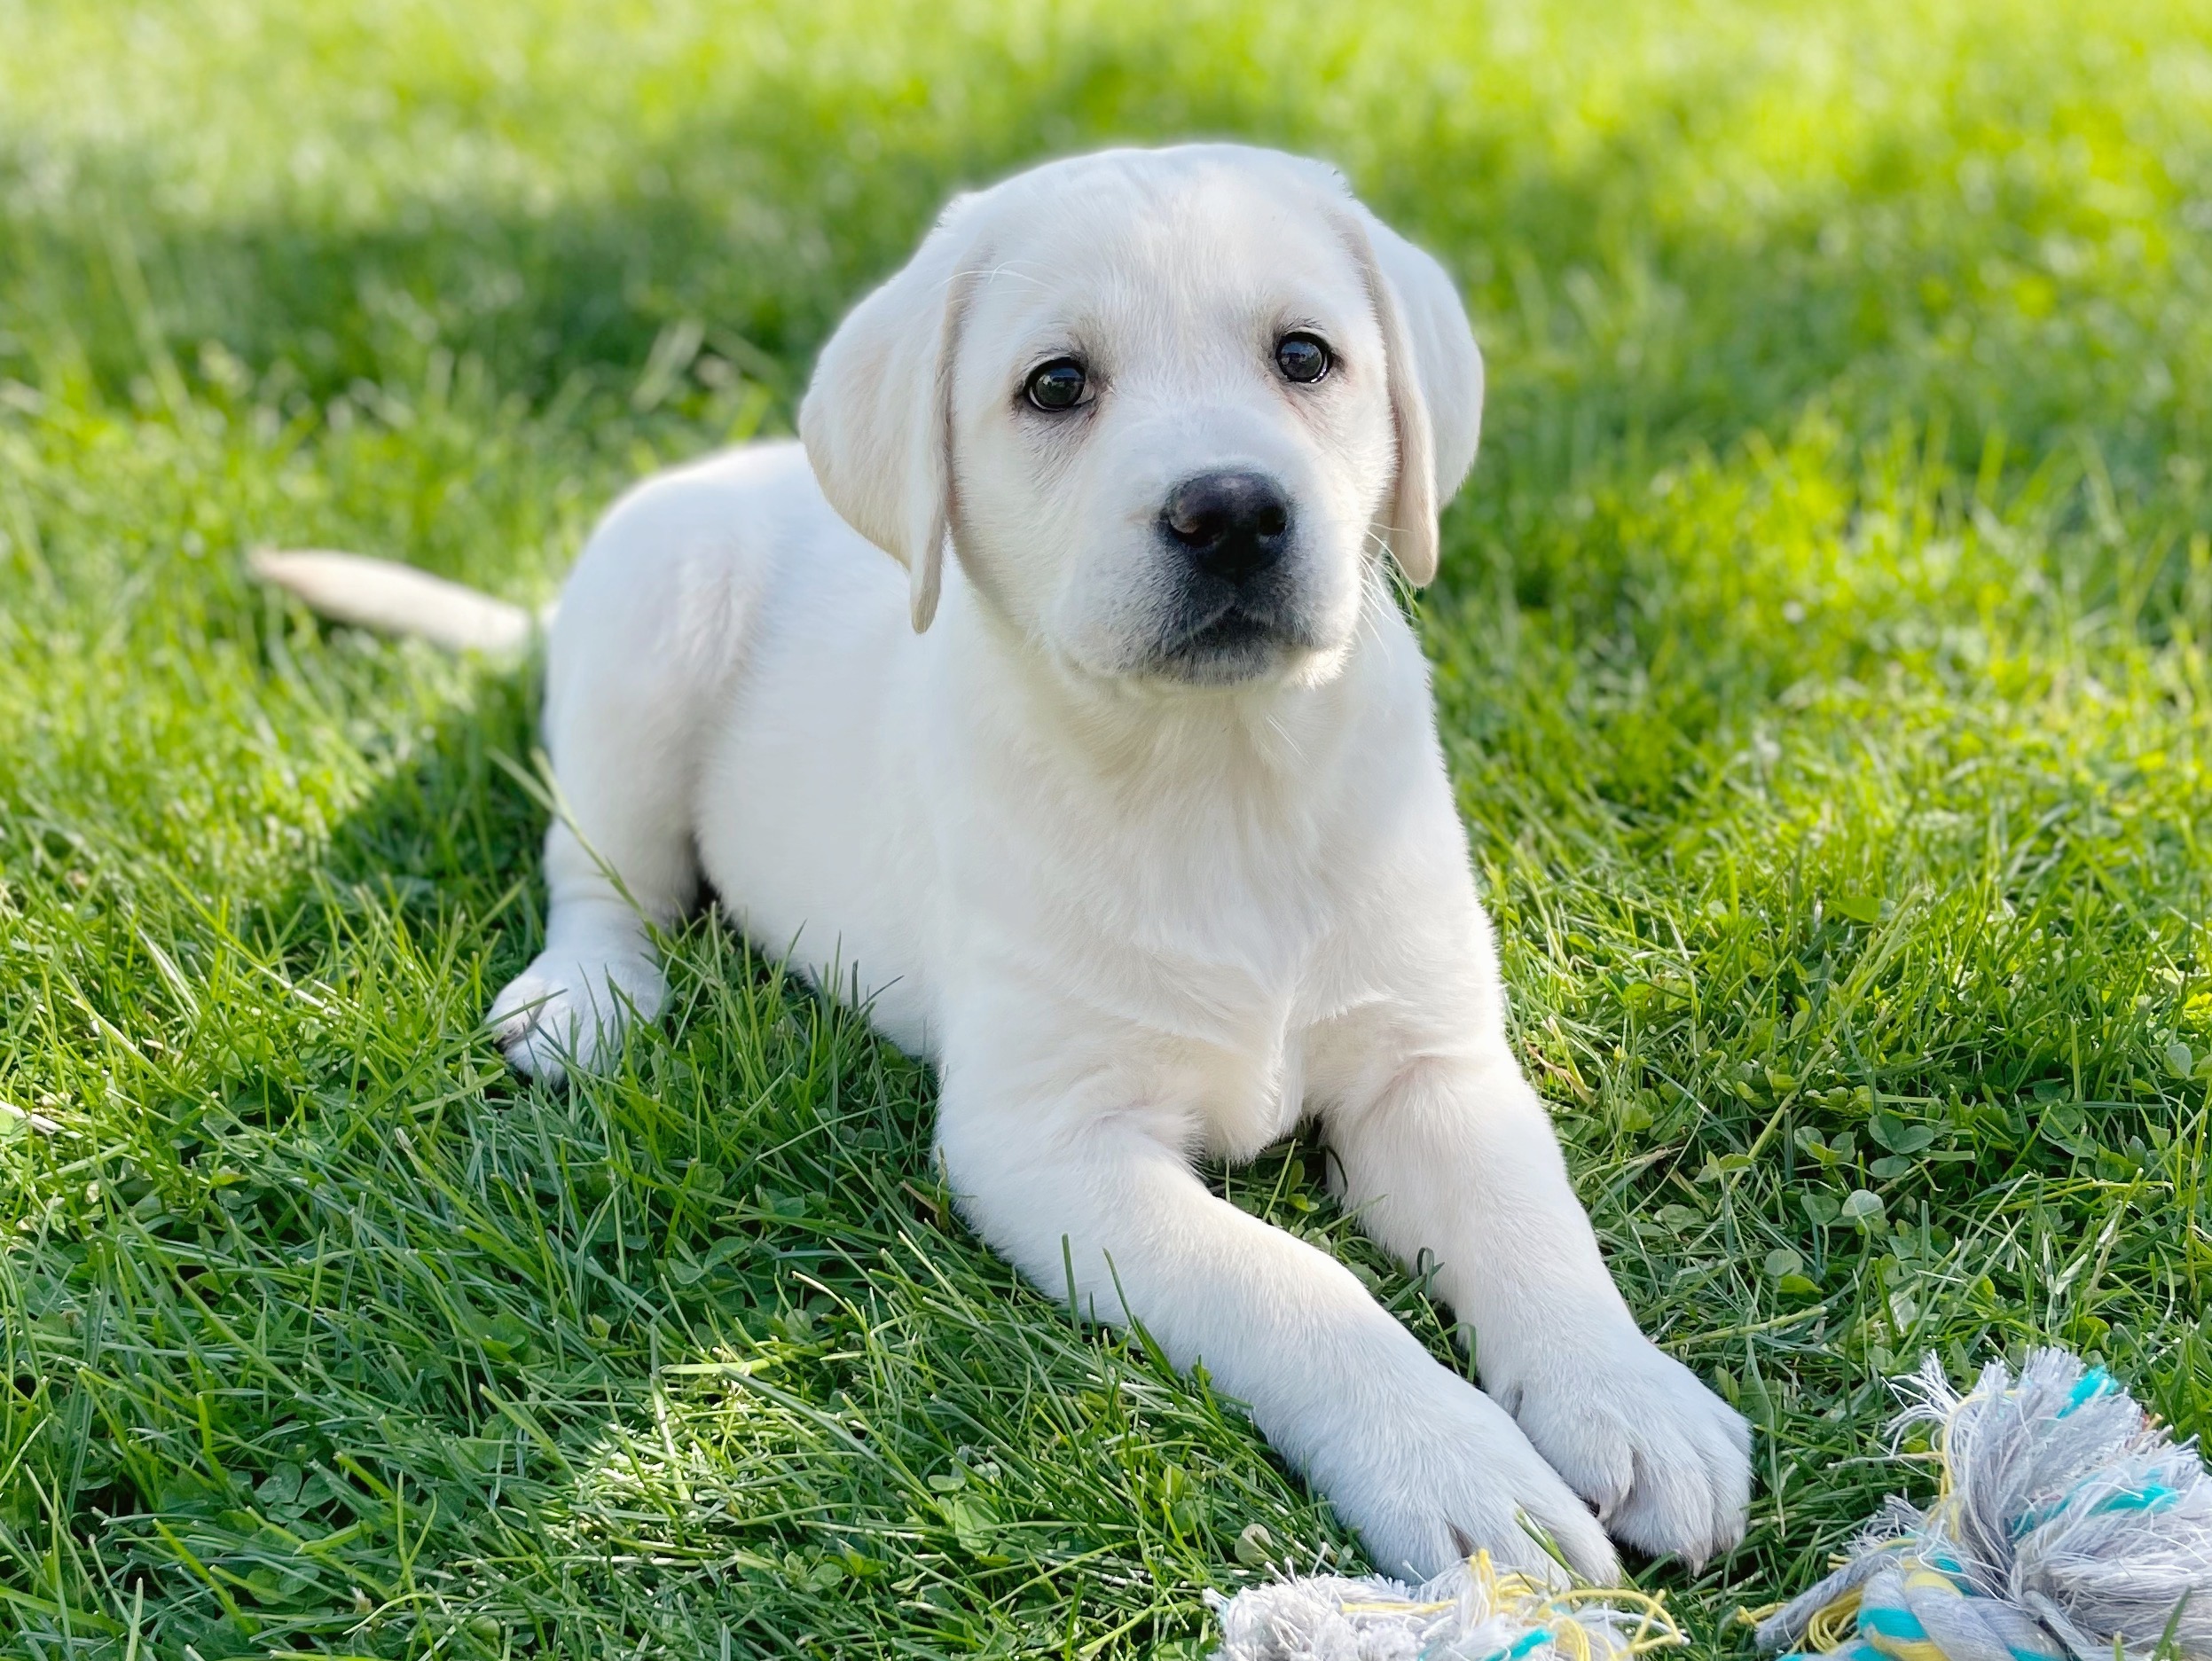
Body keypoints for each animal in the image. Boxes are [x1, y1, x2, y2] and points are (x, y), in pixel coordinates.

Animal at [254, 145, 1743, 1583]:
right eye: (1057, 384)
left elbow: (1530, 1220)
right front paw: (1457, 1466)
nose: (1230, 513)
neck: (1221, 779)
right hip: (646, 637)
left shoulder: (1427, 1059)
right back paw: (585, 999)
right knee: (602, 875)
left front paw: (1629, 1400)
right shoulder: (1049, 1141)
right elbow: (1292, 1285)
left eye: (1304, 357)